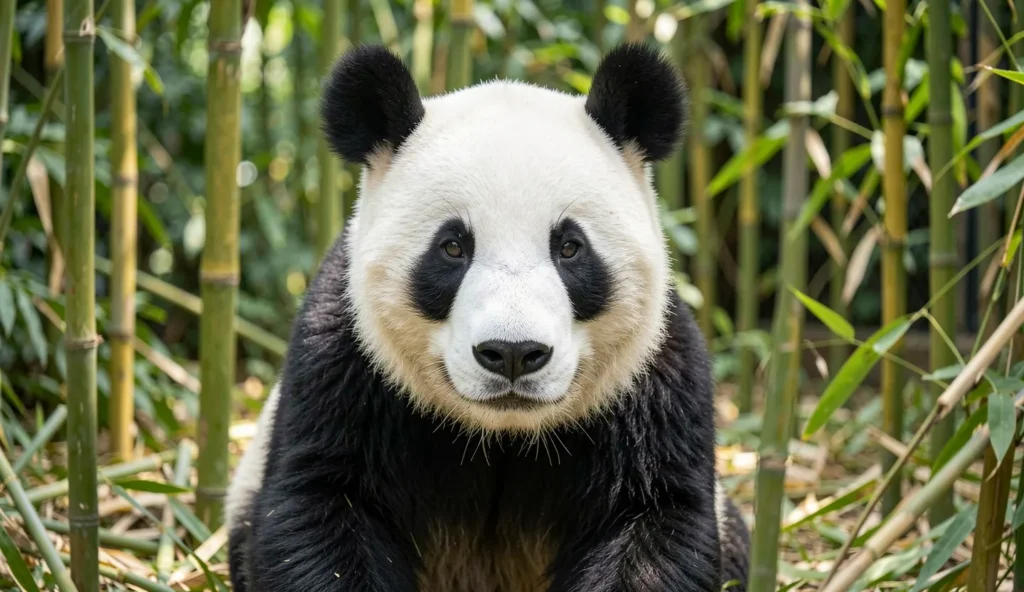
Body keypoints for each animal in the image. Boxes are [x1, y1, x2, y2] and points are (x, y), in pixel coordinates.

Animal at [224, 42, 750, 592]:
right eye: (453, 247)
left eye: (570, 247)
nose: (514, 353)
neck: (501, 434)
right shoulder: (346, 362)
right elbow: (321, 505)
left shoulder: (649, 379)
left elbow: (653, 518)